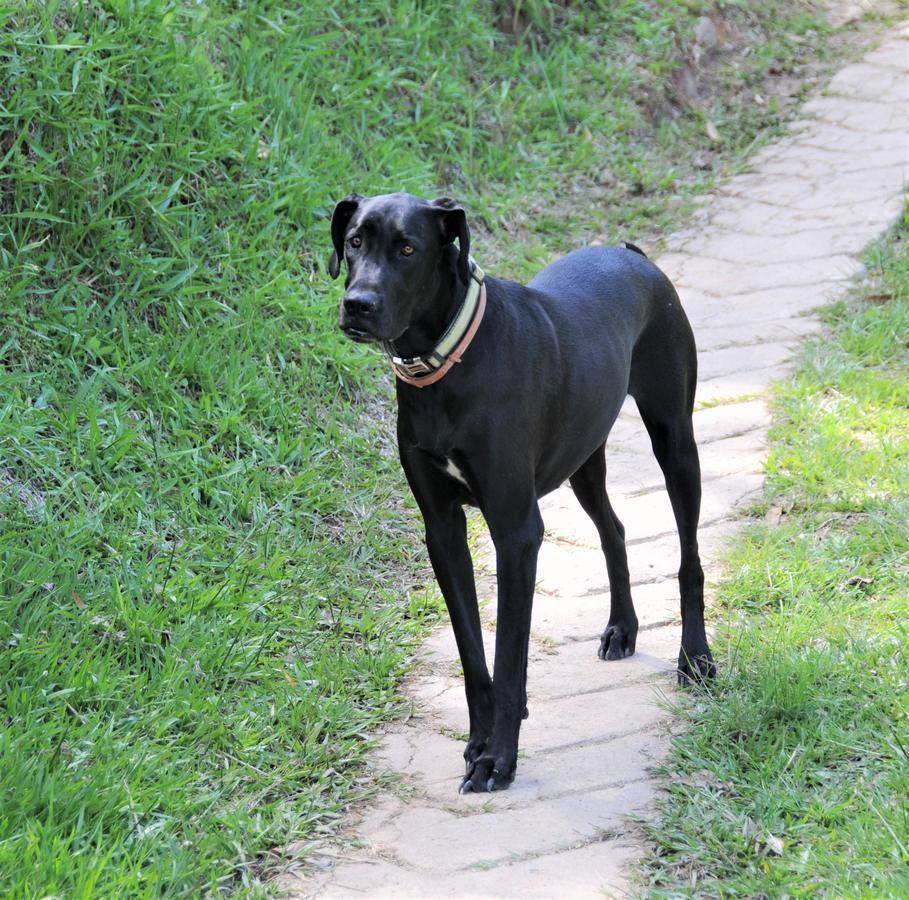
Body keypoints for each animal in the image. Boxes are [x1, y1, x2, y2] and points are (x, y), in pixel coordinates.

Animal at [330, 193, 712, 792]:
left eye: (408, 248)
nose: (357, 304)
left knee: (688, 557)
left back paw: (695, 657)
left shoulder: (515, 532)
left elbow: (509, 658)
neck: (447, 366)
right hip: (584, 459)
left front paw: (498, 759)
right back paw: (622, 628)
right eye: (353, 242)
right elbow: (472, 653)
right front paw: (478, 740)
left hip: (675, 441)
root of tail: (634, 256)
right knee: (614, 530)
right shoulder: (443, 530)